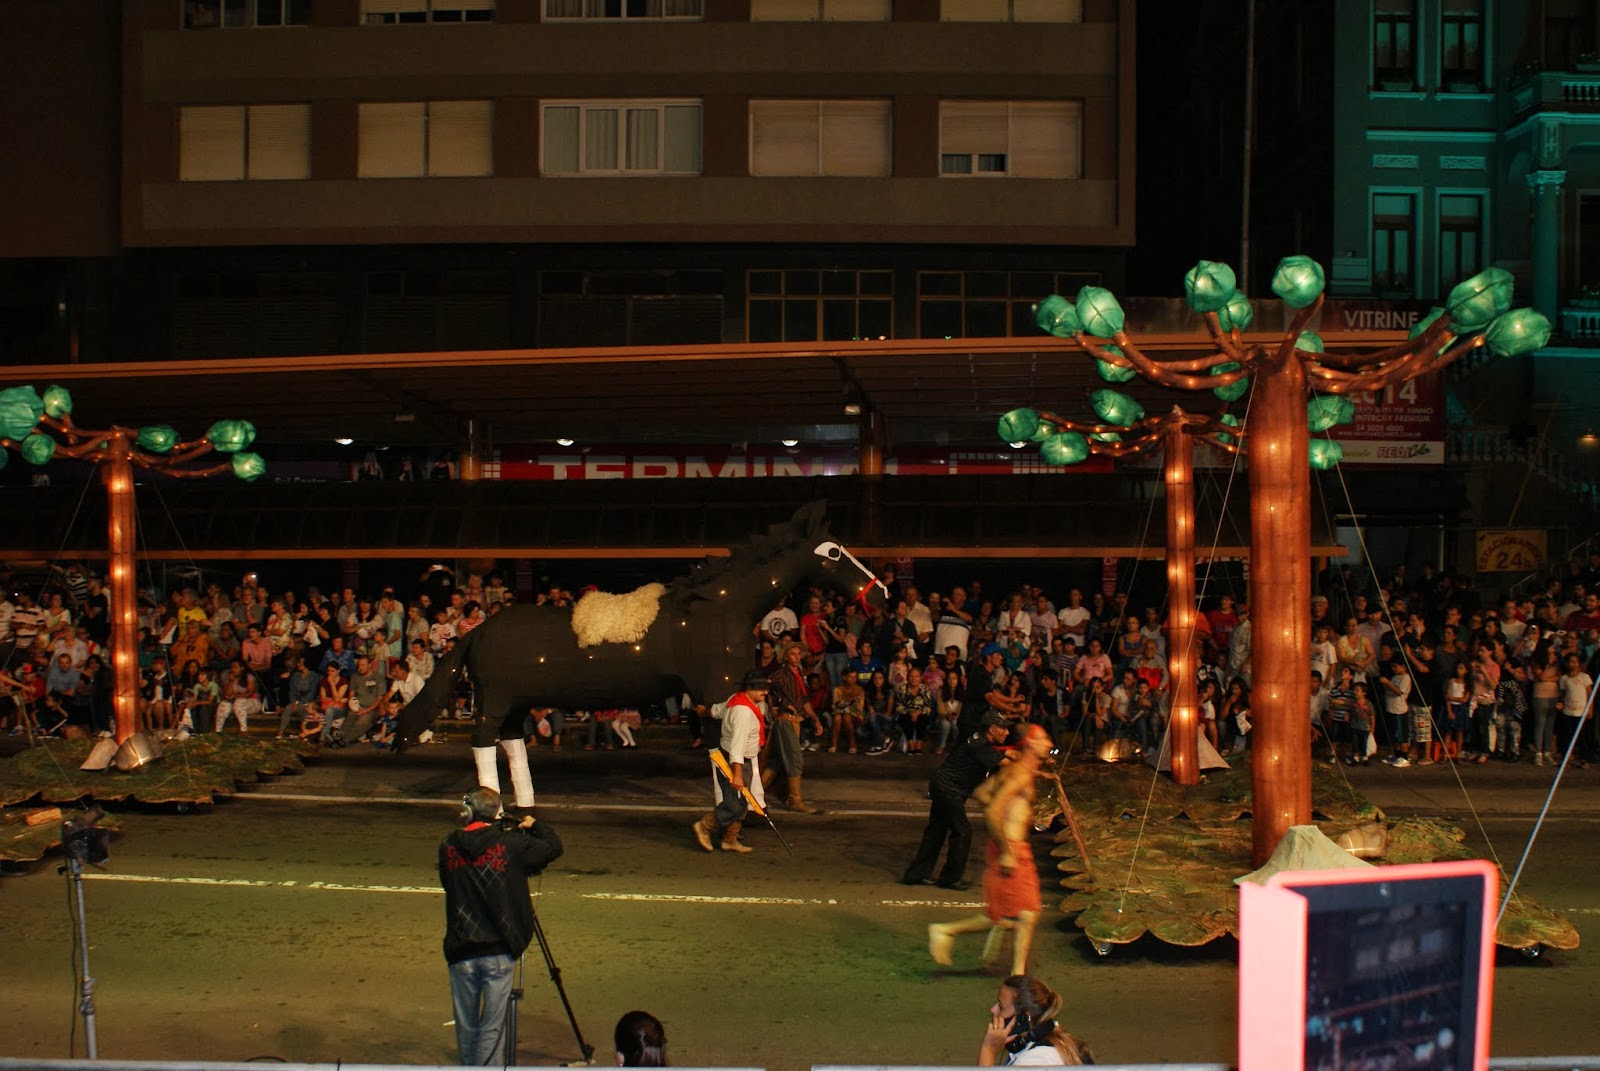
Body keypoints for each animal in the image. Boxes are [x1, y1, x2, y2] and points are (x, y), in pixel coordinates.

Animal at [365, 502, 889, 809]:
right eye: (834, 552)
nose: (881, 594)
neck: (719, 605)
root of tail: (478, 631)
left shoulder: (729, 689)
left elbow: (740, 740)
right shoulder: (715, 690)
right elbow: (730, 744)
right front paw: (741, 803)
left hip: (514, 702)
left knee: (511, 742)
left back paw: (527, 802)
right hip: (493, 700)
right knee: (482, 742)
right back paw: (493, 804)